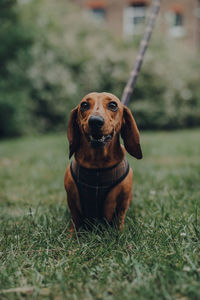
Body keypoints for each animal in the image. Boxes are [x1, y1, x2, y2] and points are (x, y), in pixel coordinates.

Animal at [64, 92, 142, 233]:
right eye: (84, 105)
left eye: (113, 105)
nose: (95, 121)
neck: (97, 164)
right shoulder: (72, 200)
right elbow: (75, 220)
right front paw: (72, 235)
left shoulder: (123, 201)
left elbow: (119, 218)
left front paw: (120, 234)